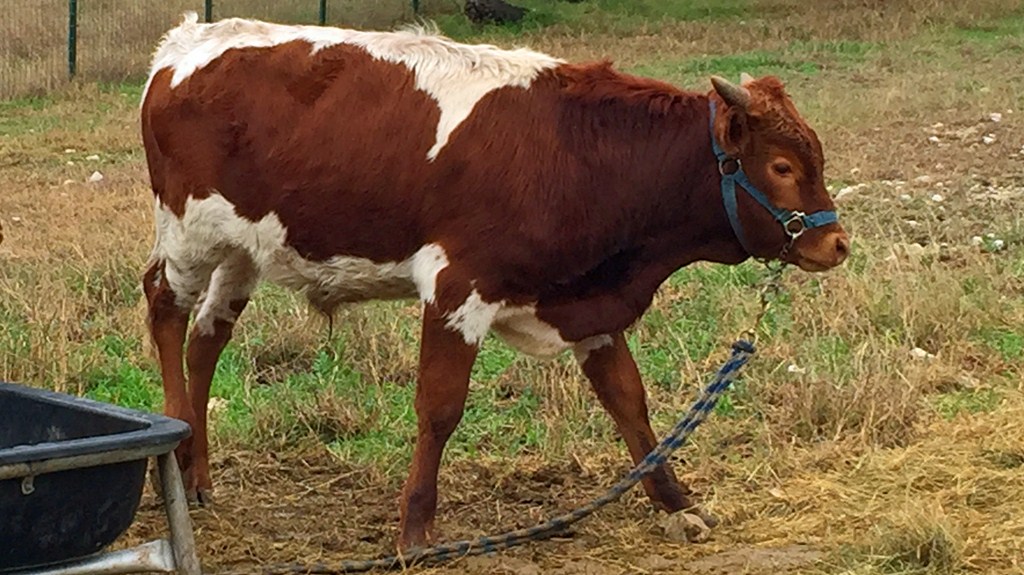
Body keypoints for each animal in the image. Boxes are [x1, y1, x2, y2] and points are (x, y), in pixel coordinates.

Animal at [139, 12, 849, 550]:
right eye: (782, 166)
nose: (835, 243)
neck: (578, 149)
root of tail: (187, 41)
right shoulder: (458, 289)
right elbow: (439, 408)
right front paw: (415, 529)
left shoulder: (587, 303)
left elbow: (629, 401)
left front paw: (675, 502)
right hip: (189, 235)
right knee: (164, 307)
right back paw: (174, 455)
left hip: (244, 247)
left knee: (208, 337)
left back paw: (197, 475)